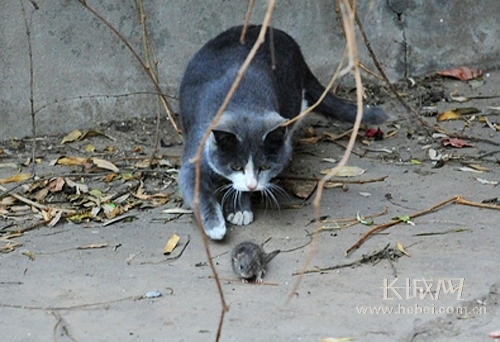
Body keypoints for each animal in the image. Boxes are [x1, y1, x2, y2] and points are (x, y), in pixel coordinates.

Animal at [178, 24, 388, 240]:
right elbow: (196, 189)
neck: (240, 102)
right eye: (236, 166)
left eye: (264, 167)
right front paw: (214, 226)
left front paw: (240, 208)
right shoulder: (197, 149)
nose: (253, 185)